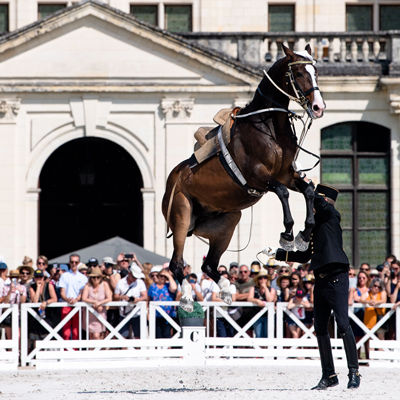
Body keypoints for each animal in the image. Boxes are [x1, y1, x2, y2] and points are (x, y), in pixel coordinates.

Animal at [162, 45, 324, 310]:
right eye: (299, 73)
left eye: (316, 72)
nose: (319, 107)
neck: (269, 127)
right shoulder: (259, 175)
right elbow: (283, 193)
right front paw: (288, 235)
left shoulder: (286, 175)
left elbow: (308, 190)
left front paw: (303, 235)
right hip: (181, 215)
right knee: (177, 263)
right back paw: (186, 296)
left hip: (227, 221)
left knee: (209, 265)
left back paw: (226, 290)